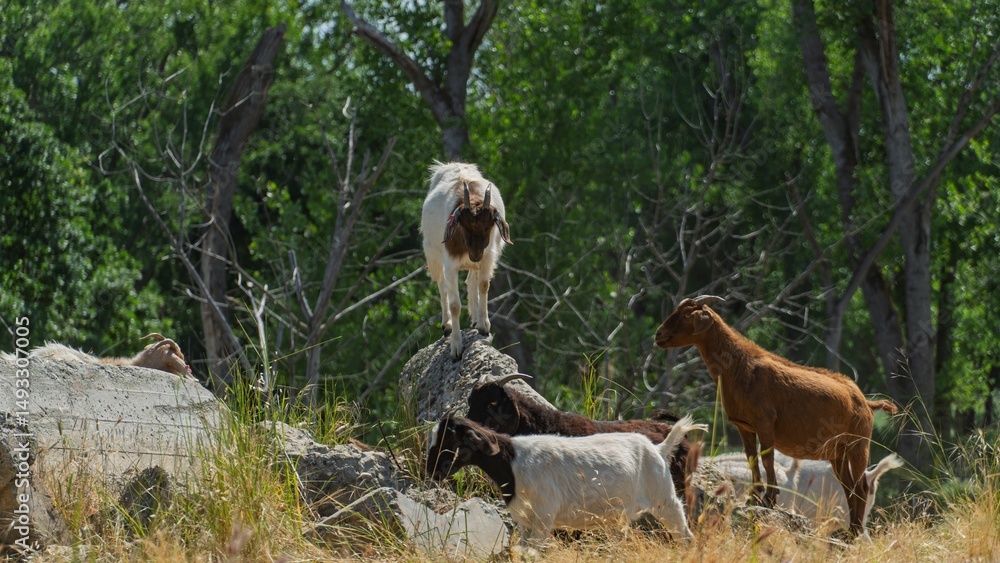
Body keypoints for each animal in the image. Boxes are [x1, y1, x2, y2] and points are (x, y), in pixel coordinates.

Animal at [420, 162, 512, 360]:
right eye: (464, 225)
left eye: (489, 226)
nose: (475, 255)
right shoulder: (450, 264)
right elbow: (455, 304)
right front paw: (456, 347)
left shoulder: (488, 258)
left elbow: (483, 285)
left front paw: (483, 325)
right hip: (433, 254)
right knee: (441, 286)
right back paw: (446, 325)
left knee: (471, 281)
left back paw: (475, 318)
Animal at [426, 414, 705, 552]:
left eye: (451, 440)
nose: (432, 471)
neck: (512, 463)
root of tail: (658, 448)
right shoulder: (524, 521)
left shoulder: (543, 518)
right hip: (619, 517)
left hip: (664, 499)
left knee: (685, 535)